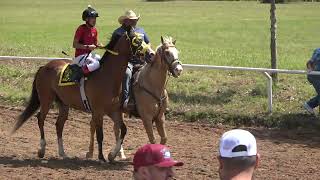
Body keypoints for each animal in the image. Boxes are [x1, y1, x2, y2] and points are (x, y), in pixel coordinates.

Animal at [10, 27, 149, 162]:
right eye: (137, 40)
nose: (150, 54)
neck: (107, 76)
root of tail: (44, 66)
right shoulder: (98, 111)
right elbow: (100, 134)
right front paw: (101, 157)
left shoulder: (113, 110)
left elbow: (124, 129)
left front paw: (112, 154)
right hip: (46, 99)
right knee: (40, 118)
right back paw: (42, 150)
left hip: (63, 103)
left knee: (59, 125)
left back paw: (63, 153)